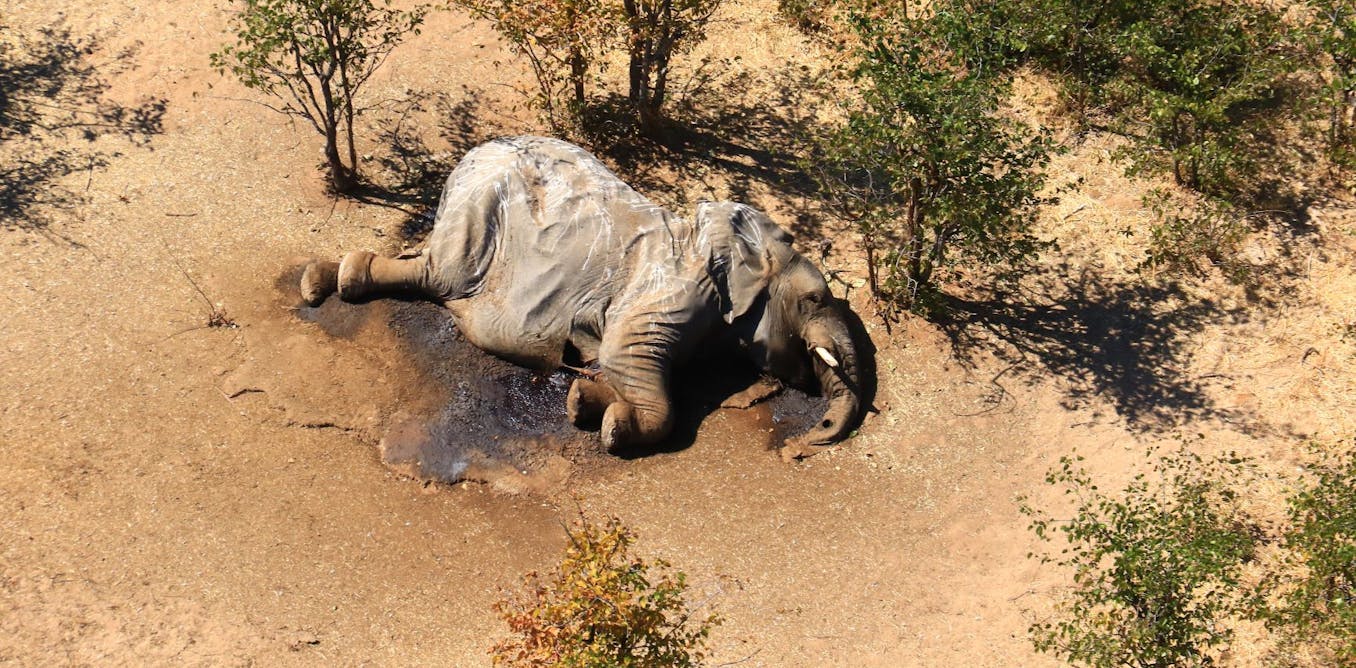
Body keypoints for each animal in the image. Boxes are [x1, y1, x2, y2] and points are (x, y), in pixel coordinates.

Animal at [300, 136, 866, 458]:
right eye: (814, 299)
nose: (802, 446)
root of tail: (471, 154)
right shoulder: (672, 290)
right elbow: (627, 357)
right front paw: (614, 428)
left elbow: (618, 365)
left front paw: (582, 401)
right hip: (478, 211)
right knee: (440, 276)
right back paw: (327, 282)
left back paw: (324, 280)